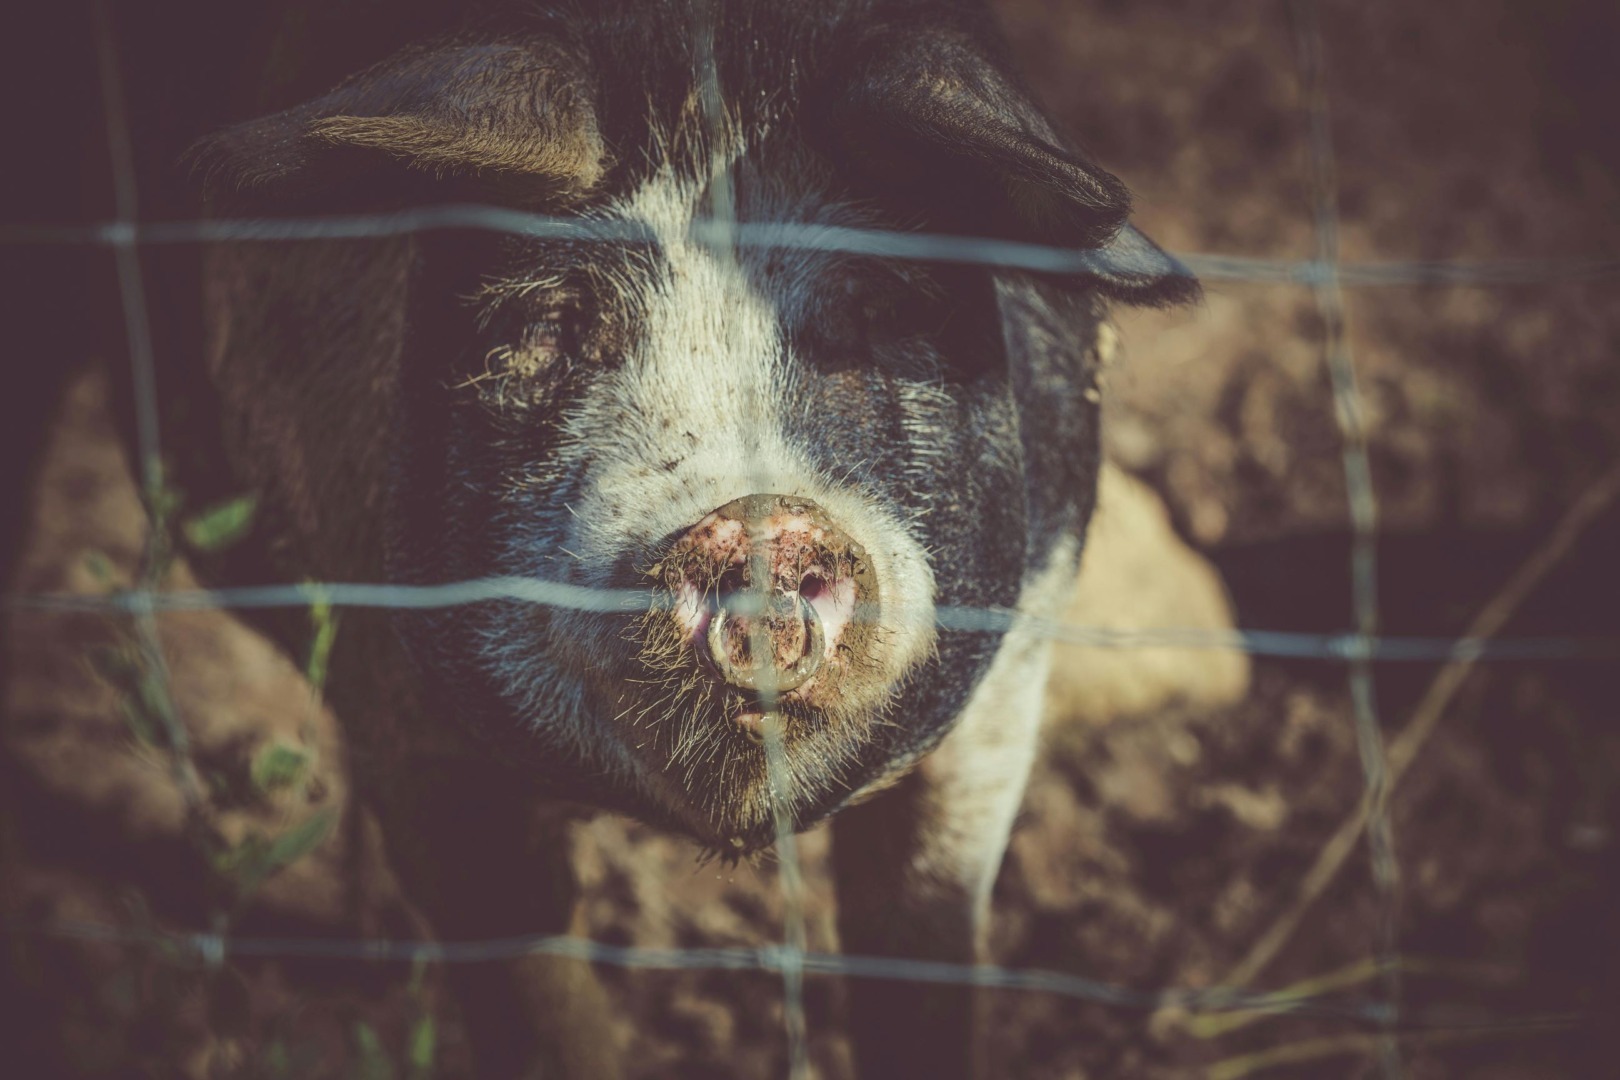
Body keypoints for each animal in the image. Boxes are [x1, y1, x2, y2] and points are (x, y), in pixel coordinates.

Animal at [31, 0, 1198, 1075]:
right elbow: (539, 1007)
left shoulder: (1005, 694)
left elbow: (922, 966)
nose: (756, 517)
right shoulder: (406, 719)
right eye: (550, 324)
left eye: (872, 309)